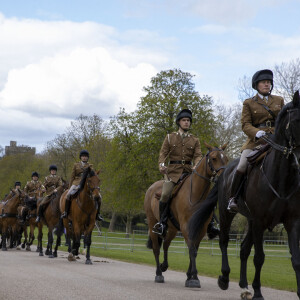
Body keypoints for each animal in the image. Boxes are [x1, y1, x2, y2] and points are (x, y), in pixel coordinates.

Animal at [144, 144, 227, 288]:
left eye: (226, 158)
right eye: (214, 158)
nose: (223, 177)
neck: (195, 194)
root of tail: (152, 187)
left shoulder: (201, 228)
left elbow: (194, 250)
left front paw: (189, 276)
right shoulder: (186, 227)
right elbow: (192, 249)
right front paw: (194, 278)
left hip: (172, 229)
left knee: (166, 245)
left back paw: (164, 265)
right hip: (152, 224)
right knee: (156, 249)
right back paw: (159, 274)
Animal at [189, 91, 300, 300]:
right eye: (298, 120)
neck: (281, 178)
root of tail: (224, 172)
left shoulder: (291, 222)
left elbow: (295, 259)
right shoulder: (259, 222)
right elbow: (259, 258)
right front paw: (258, 292)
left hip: (250, 220)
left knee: (243, 249)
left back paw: (243, 285)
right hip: (228, 214)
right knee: (224, 241)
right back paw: (225, 278)